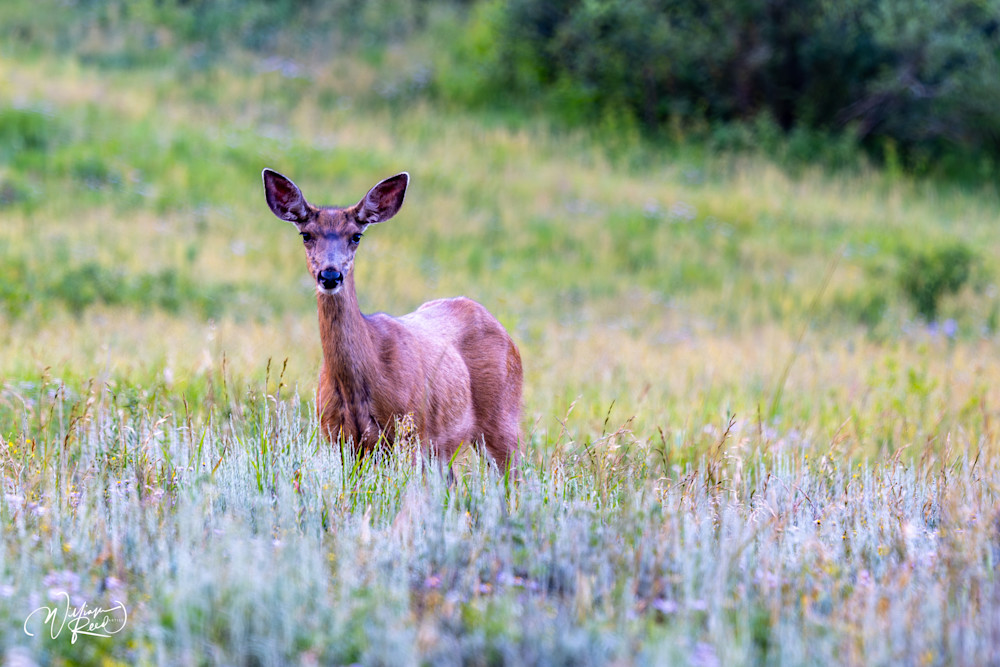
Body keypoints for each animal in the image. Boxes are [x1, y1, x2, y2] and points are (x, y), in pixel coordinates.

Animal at [262, 168, 523, 473]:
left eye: (356, 236)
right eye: (306, 234)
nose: (330, 275)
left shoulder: (408, 430)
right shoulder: (338, 438)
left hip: (502, 417)